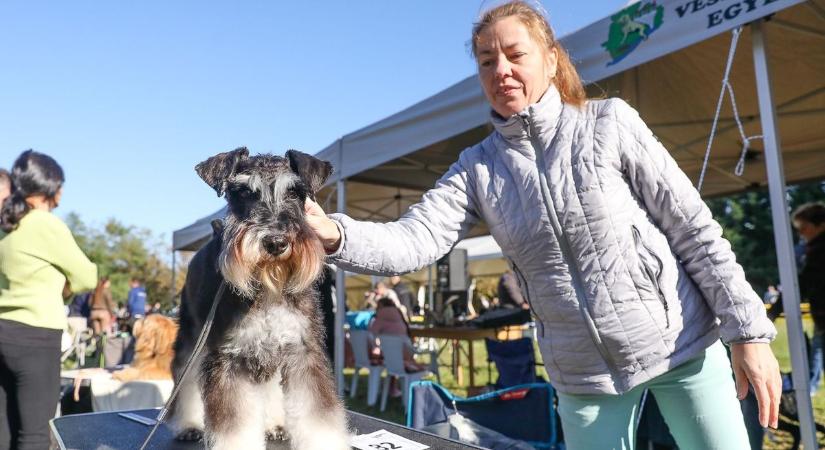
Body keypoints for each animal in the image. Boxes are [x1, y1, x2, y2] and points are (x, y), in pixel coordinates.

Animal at [167, 149, 348, 450]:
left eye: (295, 192)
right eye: (244, 193)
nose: (276, 242)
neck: (268, 288)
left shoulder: (302, 352)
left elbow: (317, 416)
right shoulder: (229, 358)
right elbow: (235, 425)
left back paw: (274, 424)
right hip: (192, 338)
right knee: (186, 379)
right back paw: (188, 425)